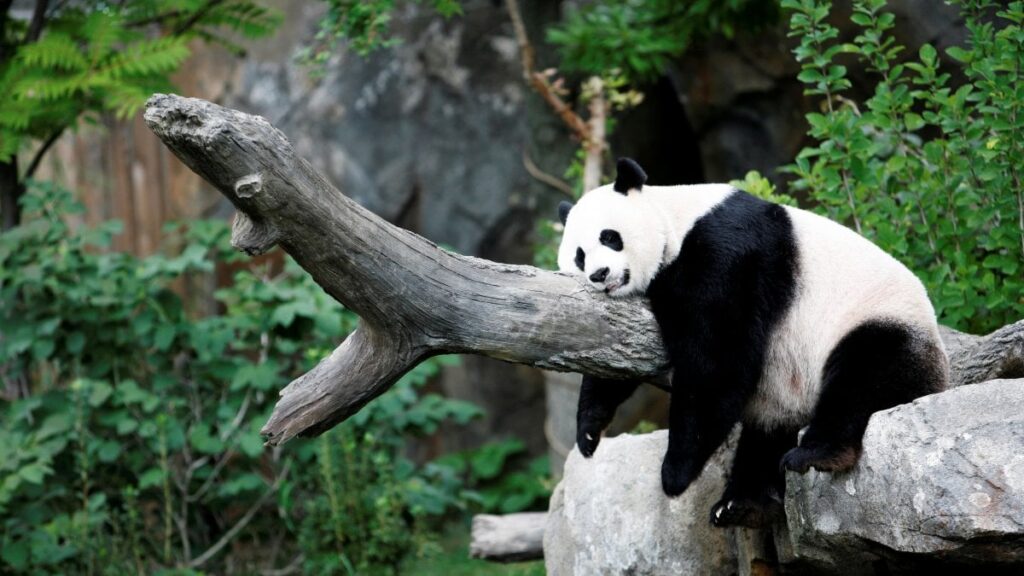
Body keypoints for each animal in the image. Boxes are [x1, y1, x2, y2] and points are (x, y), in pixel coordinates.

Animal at [557, 158, 949, 528]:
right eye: (579, 255)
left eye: (609, 237)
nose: (599, 275)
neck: (675, 220)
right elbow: (615, 353)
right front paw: (589, 432)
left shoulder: (727, 251)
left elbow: (716, 359)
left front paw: (675, 473)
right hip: (784, 393)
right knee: (766, 435)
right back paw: (742, 503)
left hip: (877, 322)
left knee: (863, 377)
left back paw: (816, 454)